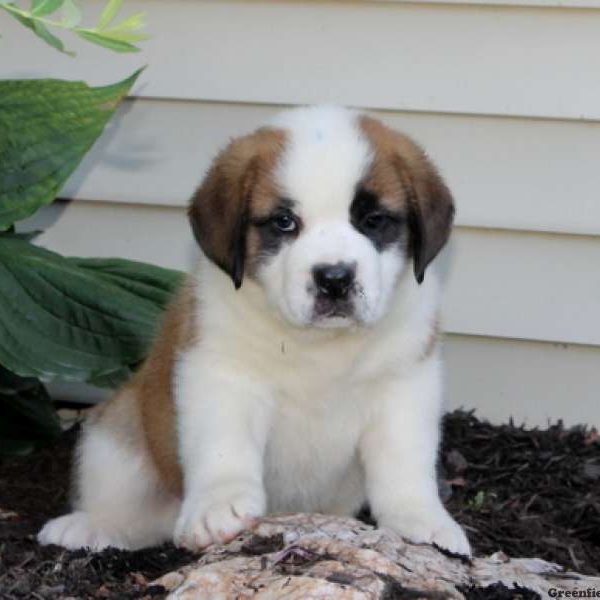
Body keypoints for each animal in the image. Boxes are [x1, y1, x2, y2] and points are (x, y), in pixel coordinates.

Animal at [37, 105, 472, 556]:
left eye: (373, 220)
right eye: (284, 222)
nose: (334, 278)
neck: (320, 346)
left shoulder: (404, 381)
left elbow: (405, 460)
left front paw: (421, 519)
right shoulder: (220, 373)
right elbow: (224, 445)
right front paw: (217, 507)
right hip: (116, 434)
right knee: (131, 512)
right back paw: (92, 527)